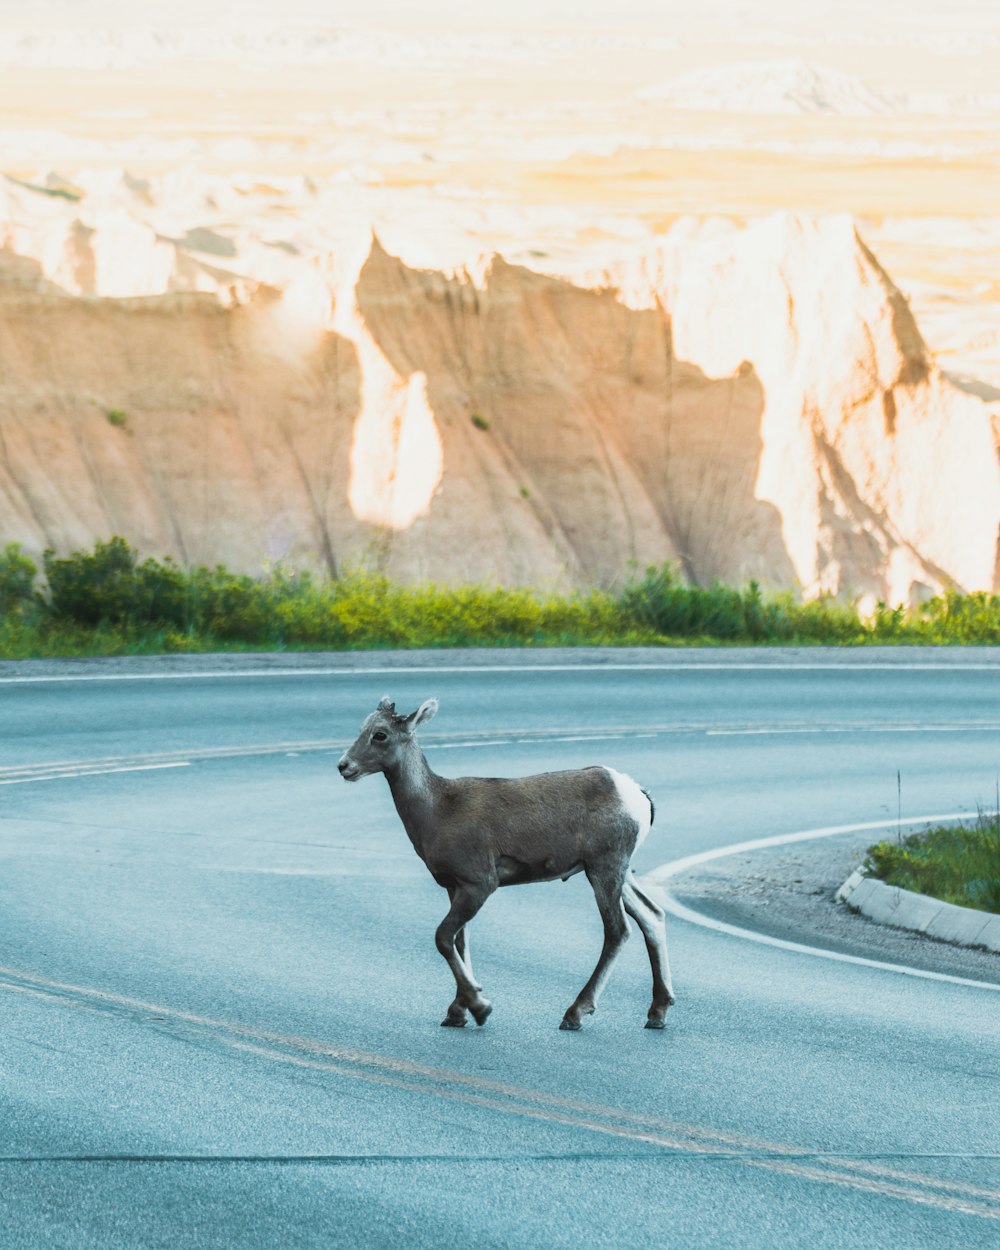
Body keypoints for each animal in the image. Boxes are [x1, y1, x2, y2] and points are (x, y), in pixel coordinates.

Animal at [335, 700, 670, 1030]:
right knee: (652, 916)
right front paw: (457, 1013)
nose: (344, 766)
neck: (437, 810)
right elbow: (460, 942)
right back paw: (658, 1012)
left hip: (604, 867)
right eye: (362, 728)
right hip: (619, 872)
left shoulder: (480, 883)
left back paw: (575, 1013)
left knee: (618, 930)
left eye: (380, 735)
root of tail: (639, 797)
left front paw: (480, 1007)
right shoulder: (454, 887)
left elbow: (443, 938)